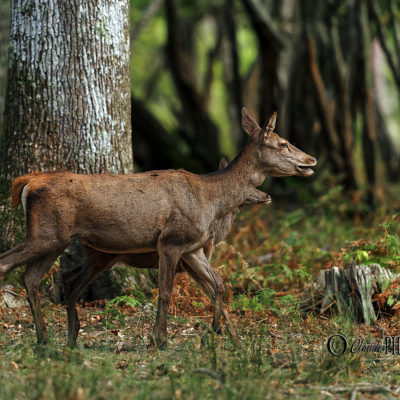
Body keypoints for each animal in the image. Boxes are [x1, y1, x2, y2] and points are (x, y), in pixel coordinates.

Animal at [0, 108, 318, 346]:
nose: (311, 159)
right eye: (283, 143)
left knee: (36, 278)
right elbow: (166, 291)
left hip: (63, 241)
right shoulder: (171, 241)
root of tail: (27, 182)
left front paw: (229, 336)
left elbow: (217, 284)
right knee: (10, 264)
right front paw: (160, 340)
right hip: (47, 233)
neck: (210, 199)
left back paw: (52, 339)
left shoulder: (192, 249)